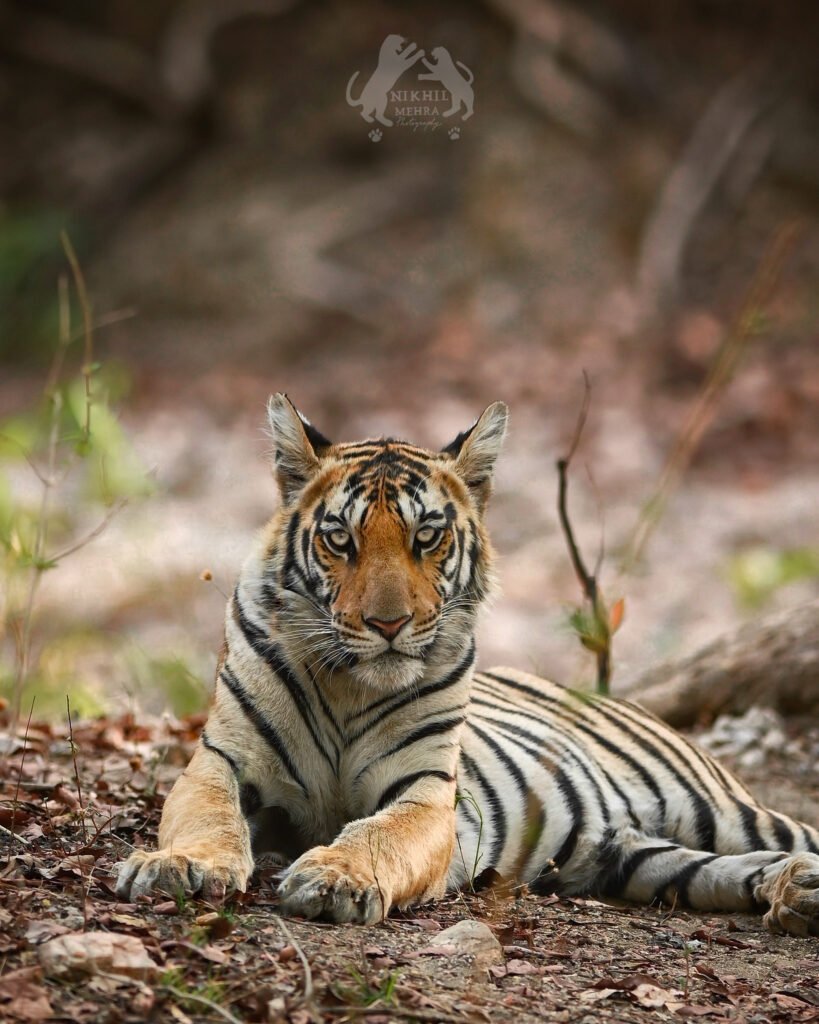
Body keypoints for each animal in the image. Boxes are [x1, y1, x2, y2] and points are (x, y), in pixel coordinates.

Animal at [116, 395, 819, 936]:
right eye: (340, 538)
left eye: (426, 536)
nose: (389, 624)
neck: (347, 685)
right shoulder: (220, 761)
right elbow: (208, 814)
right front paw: (179, 865)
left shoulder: (427, 792)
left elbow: (378, 833)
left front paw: (333, 876)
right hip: (638, 858)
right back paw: (796, 894)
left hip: (723, 811)